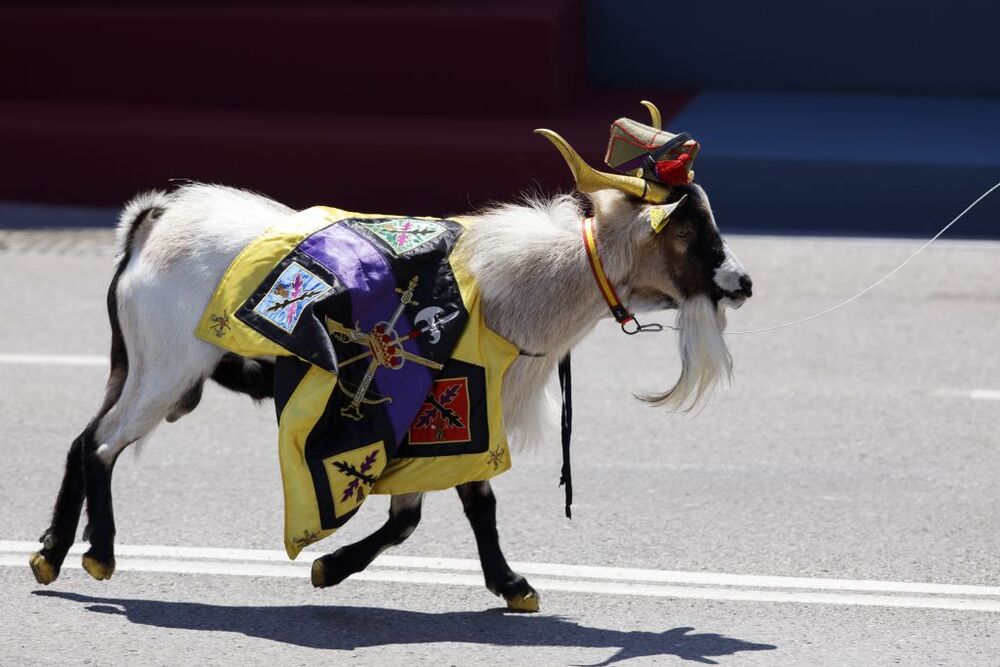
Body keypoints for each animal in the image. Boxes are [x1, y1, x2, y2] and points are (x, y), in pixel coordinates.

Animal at [29, 133, 752, 612]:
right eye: (685, 230)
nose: (742, 282)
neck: (512, 284)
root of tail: (155, 223)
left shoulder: (441, 421)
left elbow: (435, 512)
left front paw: (501, 584)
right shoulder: (450, 408)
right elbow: (455, 507)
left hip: (143, 367)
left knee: (82, 437)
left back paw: (50, 552)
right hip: (168, 370)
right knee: (102, 443)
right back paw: (99, 554)